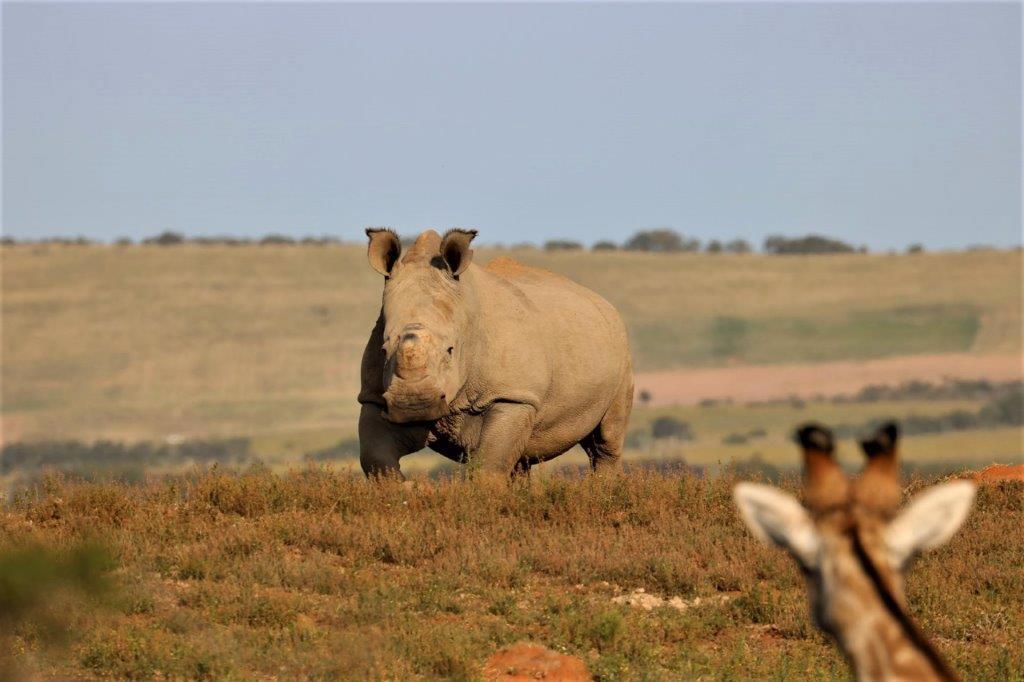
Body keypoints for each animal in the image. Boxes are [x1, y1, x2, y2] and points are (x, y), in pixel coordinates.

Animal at [358, 225, 630, 475]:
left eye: (450, 350)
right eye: (383, 350)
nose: (413, 404)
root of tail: (603, 303)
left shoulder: (513, 394)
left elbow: (490, 461)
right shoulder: (374, 397)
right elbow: (374, 456)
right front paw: (406, 488)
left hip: (619, 345)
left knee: (605, 441)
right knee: (521, 459)